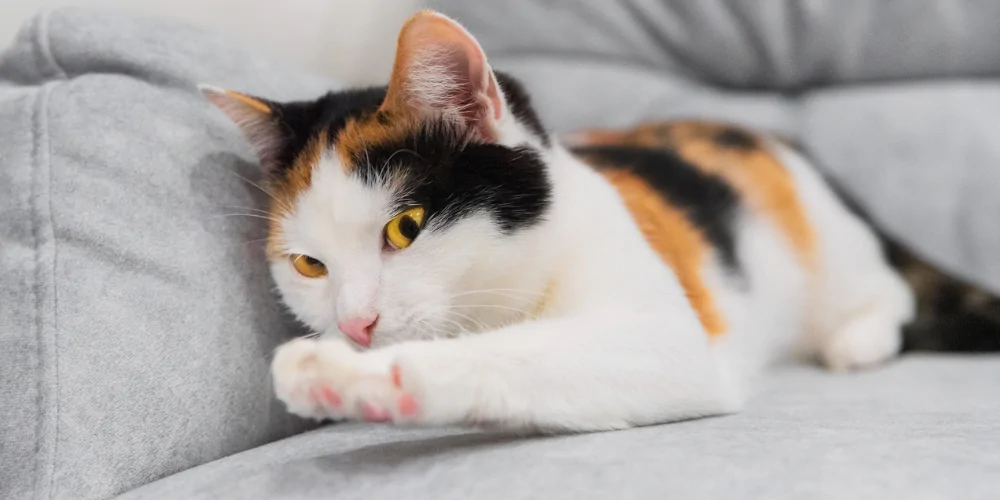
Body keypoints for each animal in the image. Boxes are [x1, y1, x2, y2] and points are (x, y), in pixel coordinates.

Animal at [203, 7, 1000, 432]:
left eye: (406, 227)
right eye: (309, 265)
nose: (356, 326)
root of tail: (779, 140)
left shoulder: (668, 340)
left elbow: (518, 353)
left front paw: (348, 375)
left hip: (831, 252)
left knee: (889, 290)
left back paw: (857, 340)